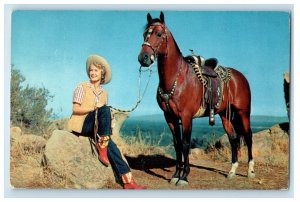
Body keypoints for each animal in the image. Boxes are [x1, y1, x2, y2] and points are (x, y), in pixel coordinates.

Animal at [138, 11, 255, 186]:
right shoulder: (170, 117)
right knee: (233, 138)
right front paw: (175, 175)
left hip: (243, 112)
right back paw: (232, 171)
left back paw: (250, 171)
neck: (177, 78)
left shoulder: (186, 117)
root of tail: (240, 77)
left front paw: (184, 177)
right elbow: (177, 144)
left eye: (158, 34)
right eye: (145, 34)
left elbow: (186, 144)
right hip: (225, 115)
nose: (143, 58)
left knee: (248, 136)